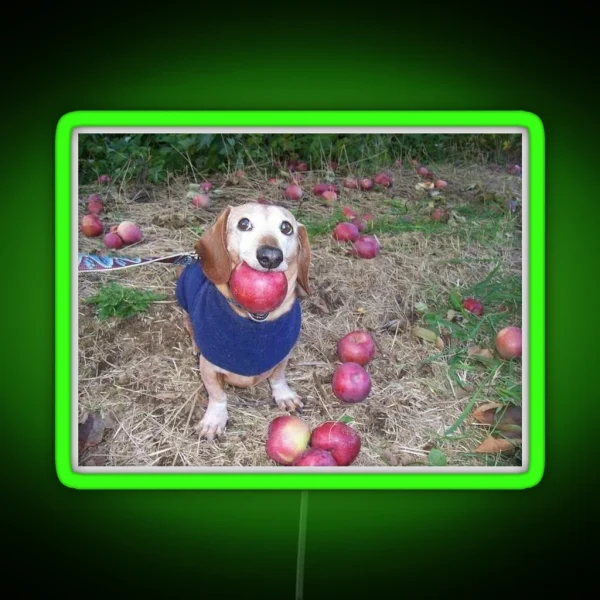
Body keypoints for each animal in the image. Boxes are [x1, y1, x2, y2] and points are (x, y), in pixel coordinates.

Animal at [175, 203, 312, 440]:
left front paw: (284, 395)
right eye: (244, 223)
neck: (254, 325)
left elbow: (278, 376)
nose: (270, 257)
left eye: (286, 227)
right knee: (189, 326)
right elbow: (217, 395)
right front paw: (214, 419)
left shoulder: (283, 355)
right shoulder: (209, 368)